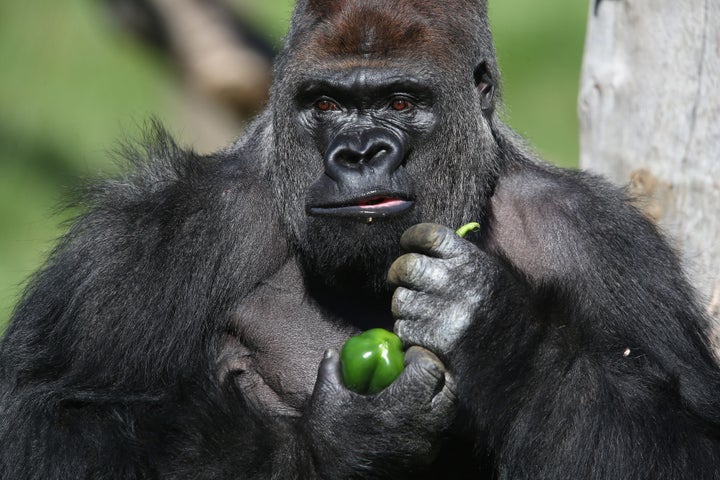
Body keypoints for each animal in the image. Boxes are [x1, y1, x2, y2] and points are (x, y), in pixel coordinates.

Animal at [1, 0, 720, 478]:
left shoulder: (606, 243)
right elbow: (44, 422)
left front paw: (486, 319)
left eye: (400, 102)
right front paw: (341, 439)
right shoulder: (153, 232)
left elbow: (684, 442)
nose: (359, 152)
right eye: (325, 104)